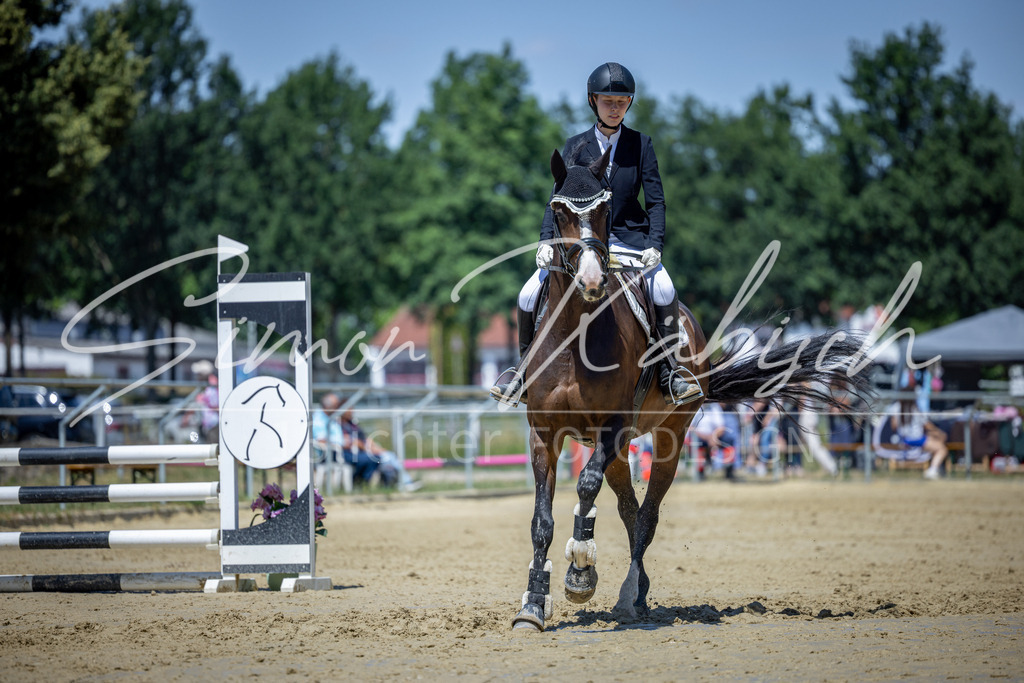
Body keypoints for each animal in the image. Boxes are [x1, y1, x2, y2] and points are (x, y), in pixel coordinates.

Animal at [511, 147, 872, 631]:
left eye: (605, 210)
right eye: (559, 210)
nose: (591, 282)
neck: (576, 335)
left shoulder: (613, 426)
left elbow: (585, 489)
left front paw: (580, 574)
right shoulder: (544, 433)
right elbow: (542, 520)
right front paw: (532, 605)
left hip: (669, 438)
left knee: (647, 515)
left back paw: (629, 597)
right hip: (621, 450)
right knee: (629, 509)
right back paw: (638, 590)